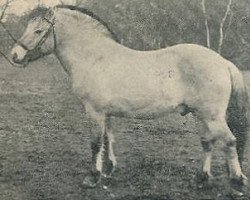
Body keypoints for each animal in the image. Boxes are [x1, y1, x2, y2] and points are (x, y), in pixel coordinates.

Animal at [9, 5, 248, 195]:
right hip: (202, 115)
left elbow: (96, 143)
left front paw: (92, 177)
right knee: (207, 142)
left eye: (39, 31)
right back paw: (201, 180)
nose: (14, 55)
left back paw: (237, 183)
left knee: (229, 142)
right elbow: (108, 139)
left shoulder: (94, 111)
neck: (94, 57)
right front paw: (108, 169)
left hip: (212, 116)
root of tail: (223, 62)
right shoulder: (105, 113)